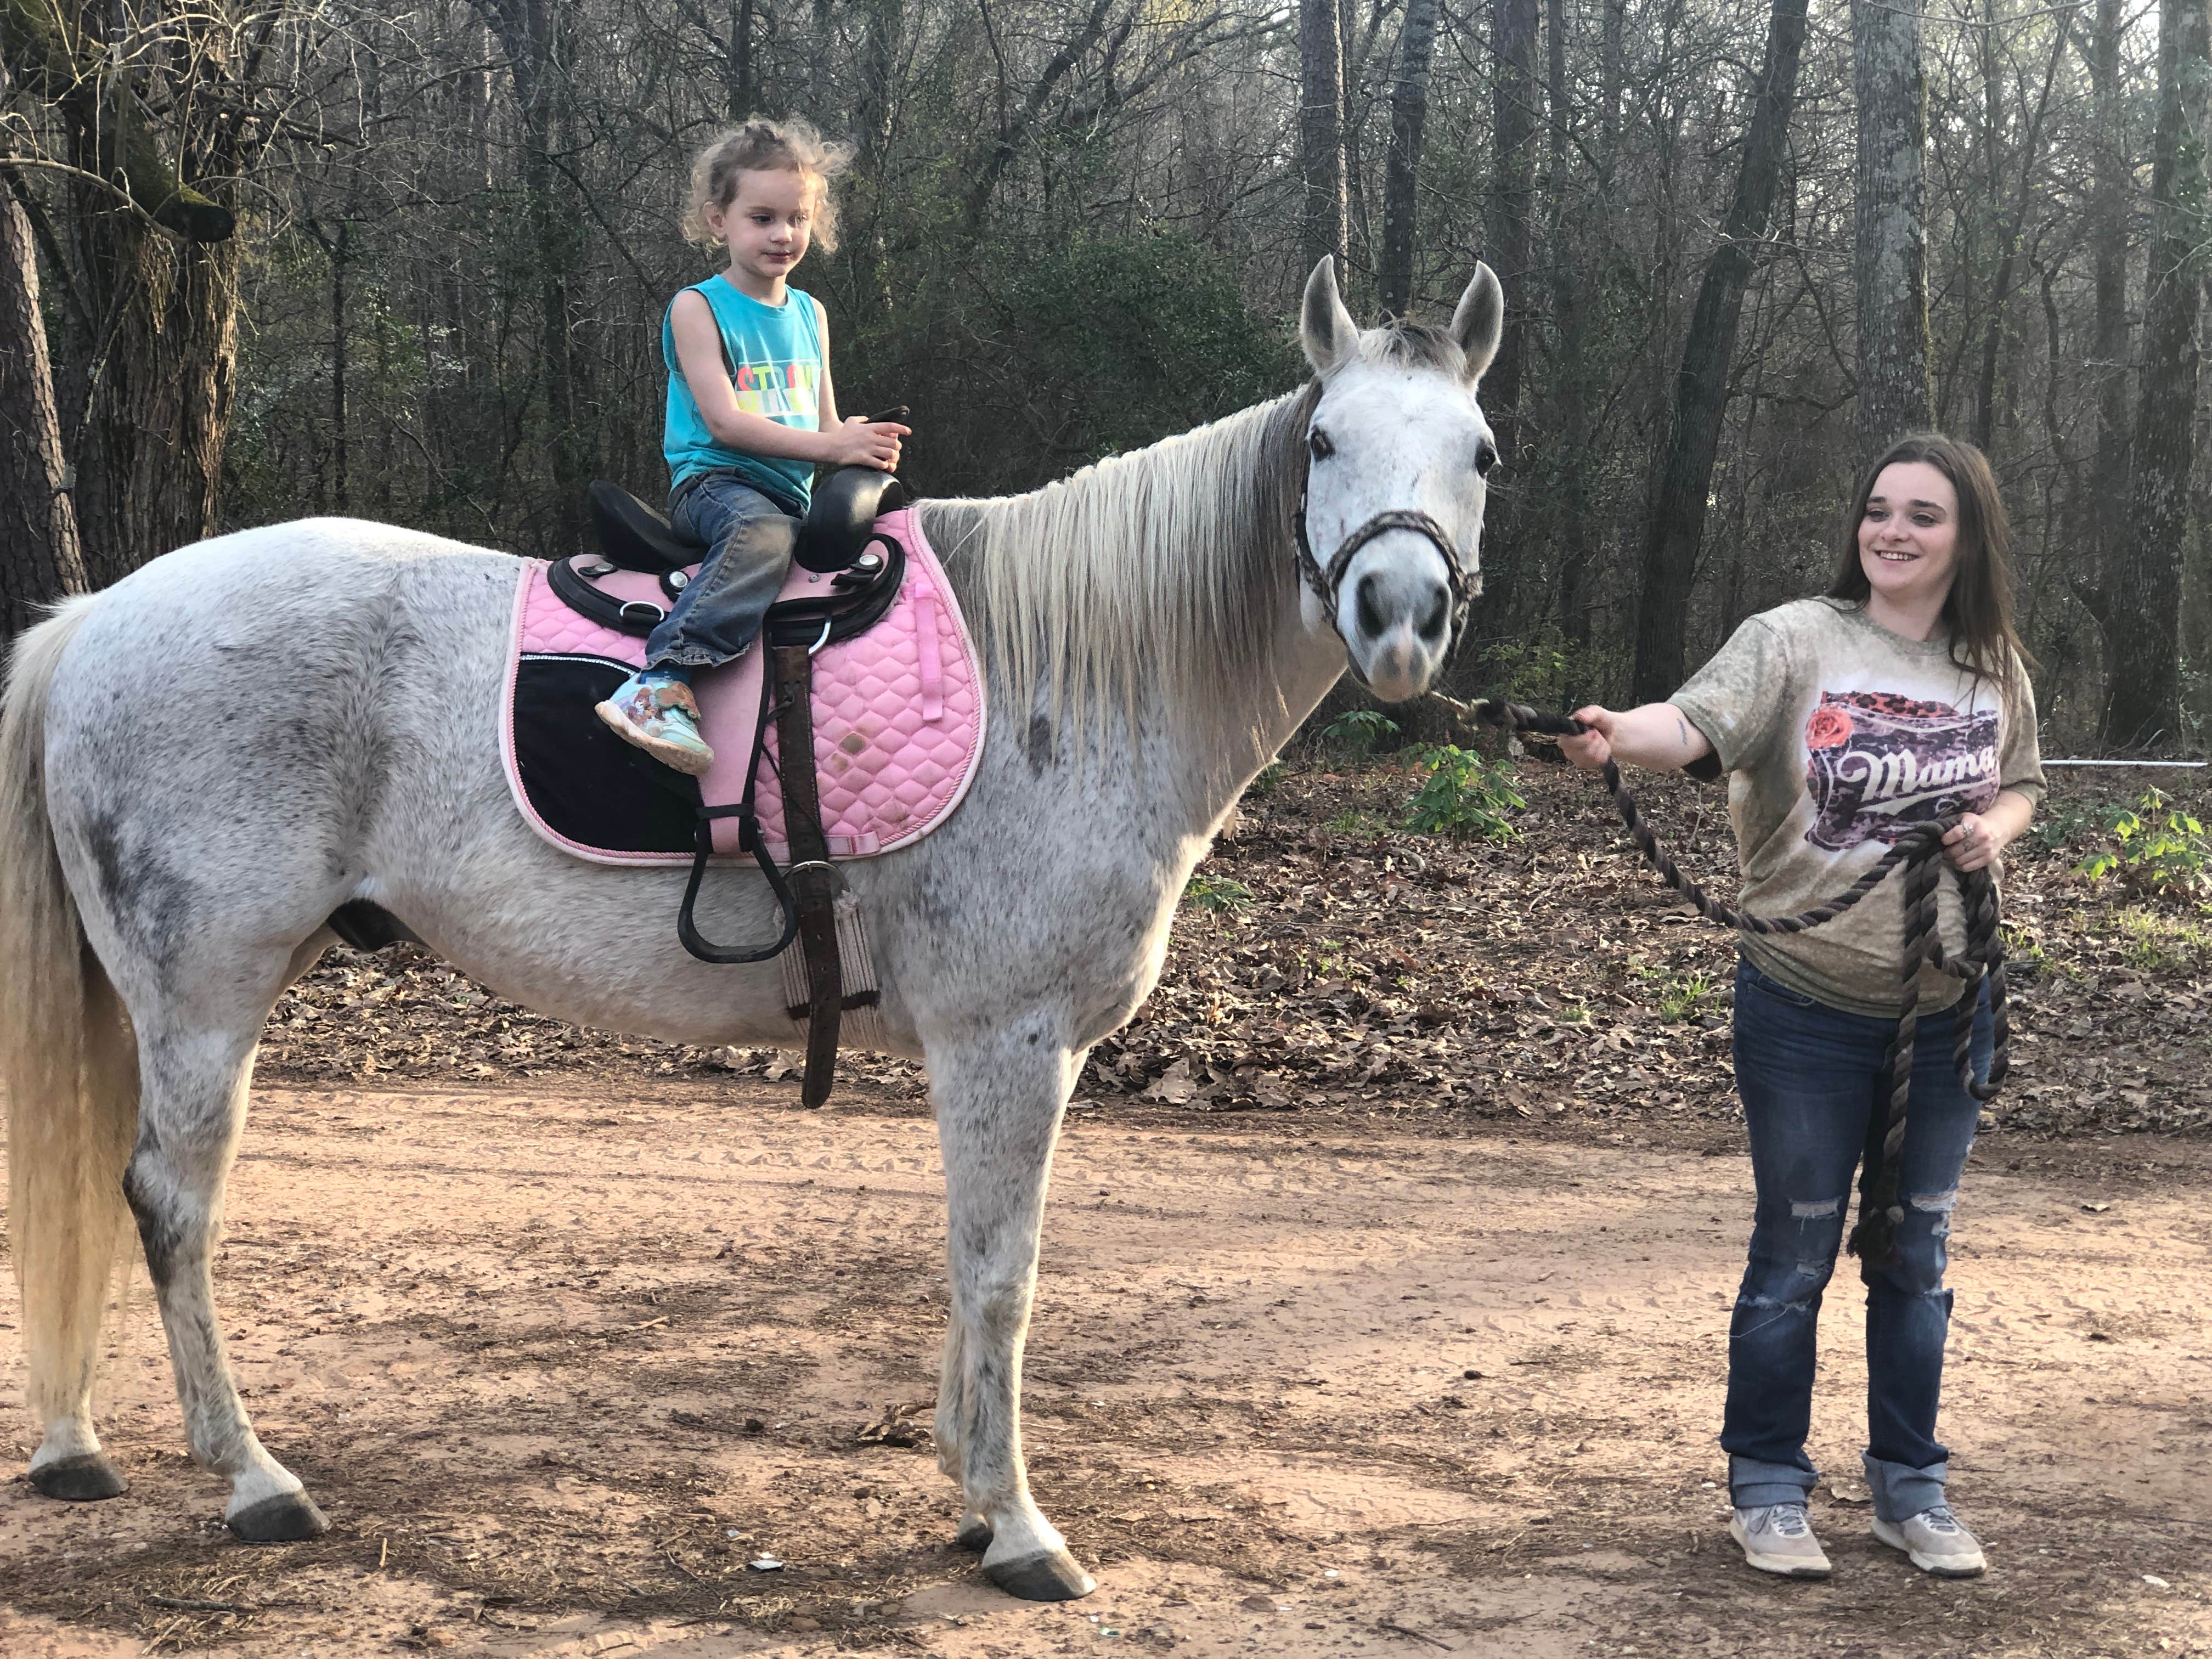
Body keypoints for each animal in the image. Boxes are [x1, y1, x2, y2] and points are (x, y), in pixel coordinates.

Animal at [0, 257, 1503, 1602]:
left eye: (1481, 452)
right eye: (1323, 440)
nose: (1401, 620)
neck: (1070, 675)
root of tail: (96, 619)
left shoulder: (998, 1057)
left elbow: (968, 1262)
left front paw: (968, 1490)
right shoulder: (1009, 1043)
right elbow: (1002, 1274)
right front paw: (1018, 1526)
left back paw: (79, 1441)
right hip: (206, 996)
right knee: (172, 1205)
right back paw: (253, 1476)